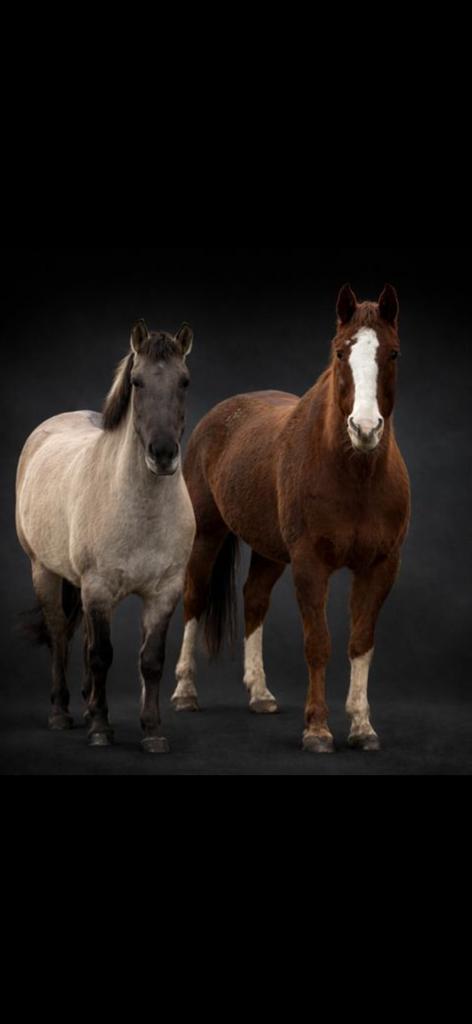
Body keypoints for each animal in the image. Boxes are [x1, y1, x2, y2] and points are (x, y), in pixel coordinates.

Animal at [16, 320, 196, 754]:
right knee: (61, 637)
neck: (141, 510)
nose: (163, 454)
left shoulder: (163, 592)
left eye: (184, 381)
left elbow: (150, 661)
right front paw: (100, 728)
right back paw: (62, 713)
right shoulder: (97, 587)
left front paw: (152, 731)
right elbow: (101, 655)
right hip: (45, 572)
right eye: (137, 381)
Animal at [171, 286, 411, 753]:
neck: (355, 474)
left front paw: (362, 727)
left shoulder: (380, 566)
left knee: (254, 600)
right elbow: (318, 643)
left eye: (391, 353)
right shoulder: (309, 564)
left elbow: (361, 642)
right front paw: (317, 729)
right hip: (207, 535)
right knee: (194, 596)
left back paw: (260, 694)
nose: (365, 428)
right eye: (340, 352)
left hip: (270, 550)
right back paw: (185, 692)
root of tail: (219, 415)